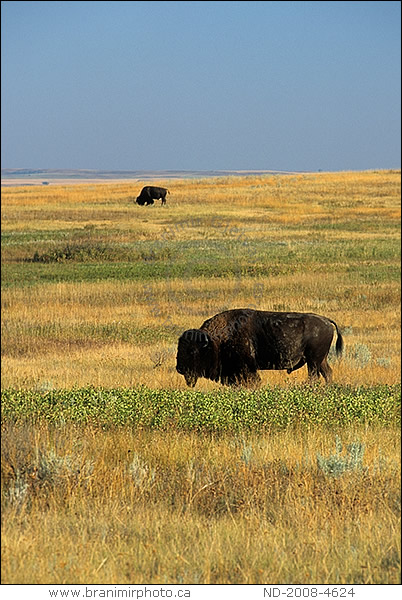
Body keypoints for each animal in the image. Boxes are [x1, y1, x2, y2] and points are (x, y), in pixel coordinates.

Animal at [174, 310, 344, 390]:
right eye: (179, 349)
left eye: (192, 351)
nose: (179, 368)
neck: (215, 341)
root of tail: (327, 321)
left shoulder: (247, 369)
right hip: (320, 360)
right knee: (327, 373)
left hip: (313, 361)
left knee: (314, 376)